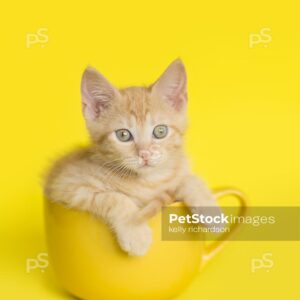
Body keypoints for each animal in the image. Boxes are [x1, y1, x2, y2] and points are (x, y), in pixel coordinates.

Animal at [44, 59, 221, 255]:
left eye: (160, 131)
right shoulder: (67, 184)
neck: (147, 182)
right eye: (123, 135)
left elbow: (191, 179)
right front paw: (135, 233)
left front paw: (212, 212)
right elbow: (115, 198)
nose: (145, 154)